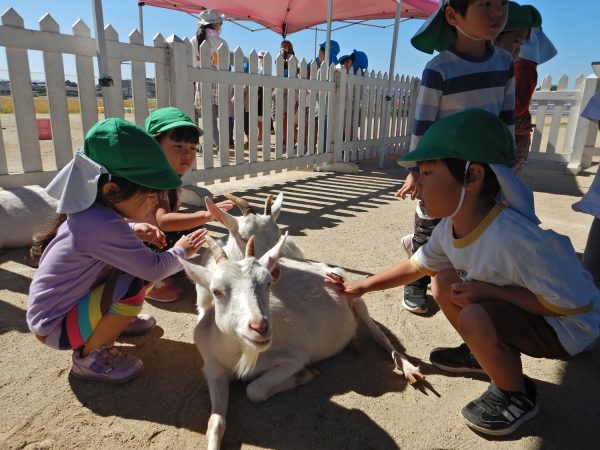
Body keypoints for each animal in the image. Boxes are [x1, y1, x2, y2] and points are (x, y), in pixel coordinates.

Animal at [180, 234, 424, 448]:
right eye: (216, 291)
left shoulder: (293, 357)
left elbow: (254, 390)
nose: (260, 327)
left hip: (357, 299)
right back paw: (354, 342)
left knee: (378, 335)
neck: (238, 355)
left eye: (267, 283)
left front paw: (304, 374)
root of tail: (324, 268)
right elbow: (215, 423)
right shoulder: (213, 371)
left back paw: (409, 369)